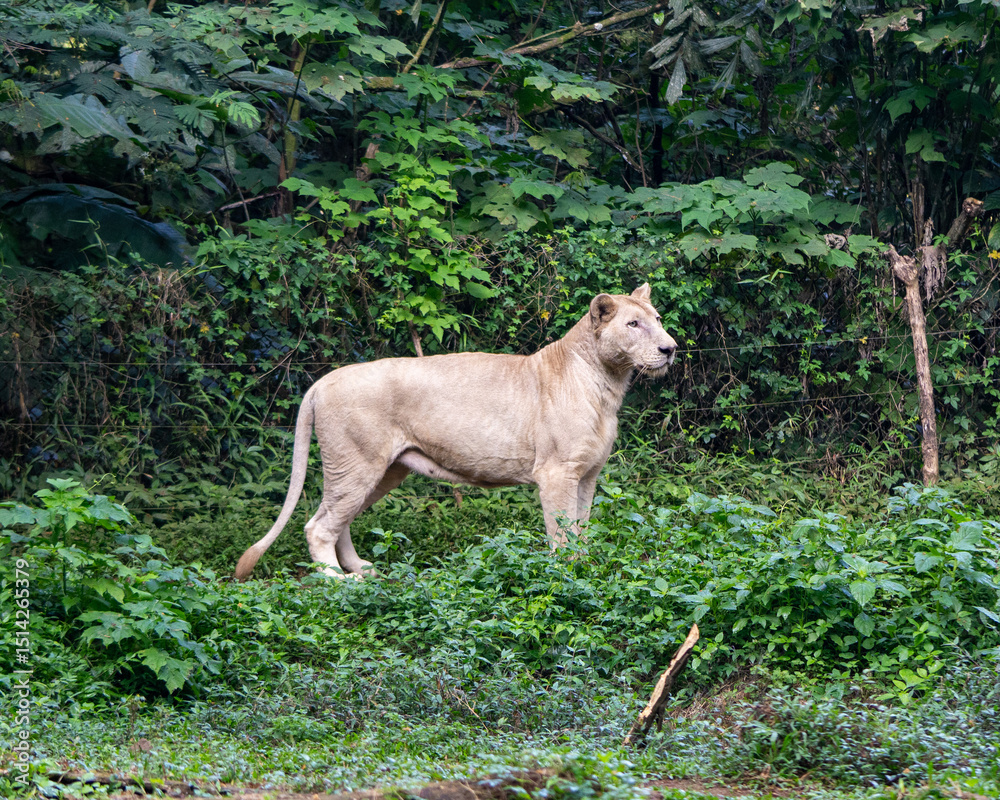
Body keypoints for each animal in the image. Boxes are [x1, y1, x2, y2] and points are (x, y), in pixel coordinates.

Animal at [234, 284, 677, 580]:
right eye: (633, 324)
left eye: (657, 321)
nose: (670, 348)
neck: (608, 382)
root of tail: (319, 383)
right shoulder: (555, 472)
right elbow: (561, 531)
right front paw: (566, 576)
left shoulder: (586, 474)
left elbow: (581, 527)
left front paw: (586, 569)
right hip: (355, 463)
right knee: (319, 526)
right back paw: (339, 583)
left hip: (383, 470)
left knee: (337, 519)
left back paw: (362, 570)